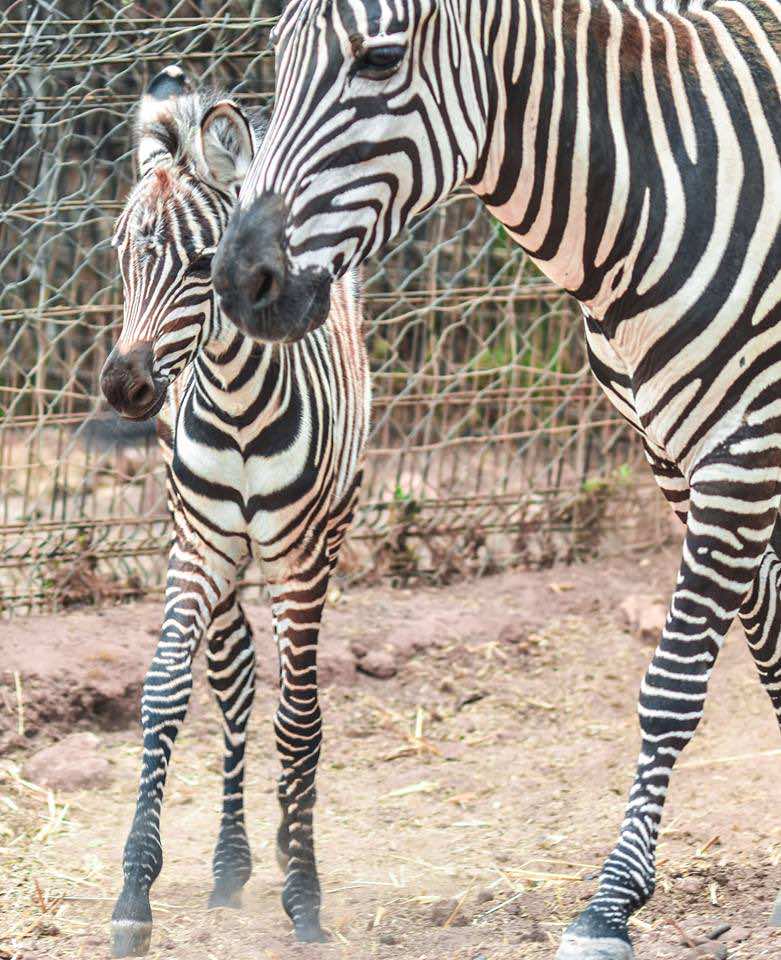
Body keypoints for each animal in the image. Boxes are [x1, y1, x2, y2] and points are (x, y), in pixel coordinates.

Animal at [100, 66, 369, 956]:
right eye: (120, 255)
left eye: (197, 264)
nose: (123, 388)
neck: (238, 403)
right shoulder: (197, 549)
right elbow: (166, 694)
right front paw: (134, 894)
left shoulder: (297, 561)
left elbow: (300, 719)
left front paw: (304, 891)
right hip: (211, 548)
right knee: (236, 674)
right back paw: (229, 863)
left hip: (326, 534)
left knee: (291, 696)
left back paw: (285, 843)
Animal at [210, 2, 781, 958]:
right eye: (278, 57)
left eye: (380, 59)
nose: (237, 282)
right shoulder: (676, 451)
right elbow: (770, 642)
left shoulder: (745, 446)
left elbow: (672, 685)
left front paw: (608, 905)